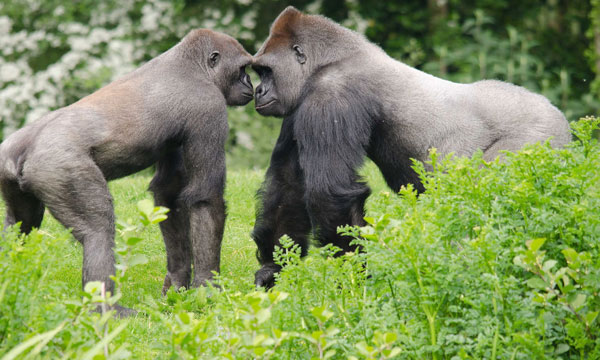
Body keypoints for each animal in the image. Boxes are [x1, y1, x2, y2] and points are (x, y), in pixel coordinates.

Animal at [0, 29, 253, 314]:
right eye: (243, 69)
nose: (250, 85)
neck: (193, 66)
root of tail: (23, 148)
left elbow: (169, 195)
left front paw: (177, 284)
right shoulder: (209, 108)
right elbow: (205, 199)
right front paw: (208, 286)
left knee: (21, 224)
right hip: (58, 165)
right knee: (97, 231)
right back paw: (108, 310)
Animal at [250, 6, 572, 286]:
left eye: (266, 71)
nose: (258, 91)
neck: (330, 60)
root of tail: (565, 124)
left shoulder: (331, 94)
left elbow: (330, 194)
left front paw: (354, 278)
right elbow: (288, 185)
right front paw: (272, 267)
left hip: (537, 140)